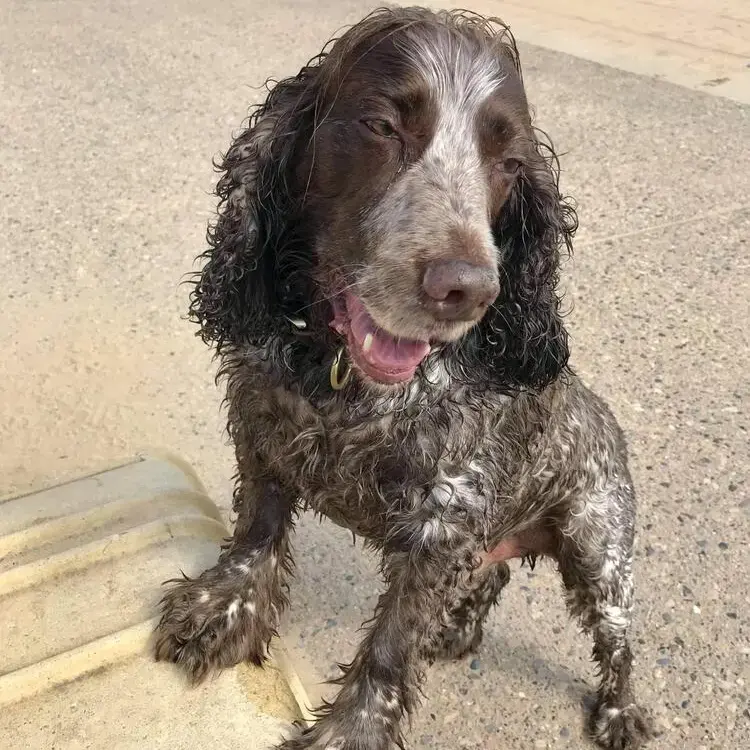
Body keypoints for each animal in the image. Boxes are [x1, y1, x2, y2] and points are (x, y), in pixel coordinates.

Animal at [157, 7, 652, 750]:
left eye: (509, 165)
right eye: (382, 126)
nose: (467, 289)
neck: (346, 388)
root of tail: (608, 419)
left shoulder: (445, 520)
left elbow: (391, 643)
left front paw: (350, 730)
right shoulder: (263, 431)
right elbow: (256, 532)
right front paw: (224, 609)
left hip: (599, 546)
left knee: (617, 641)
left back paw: (620, 712)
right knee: (493, 576)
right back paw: (458, 631)